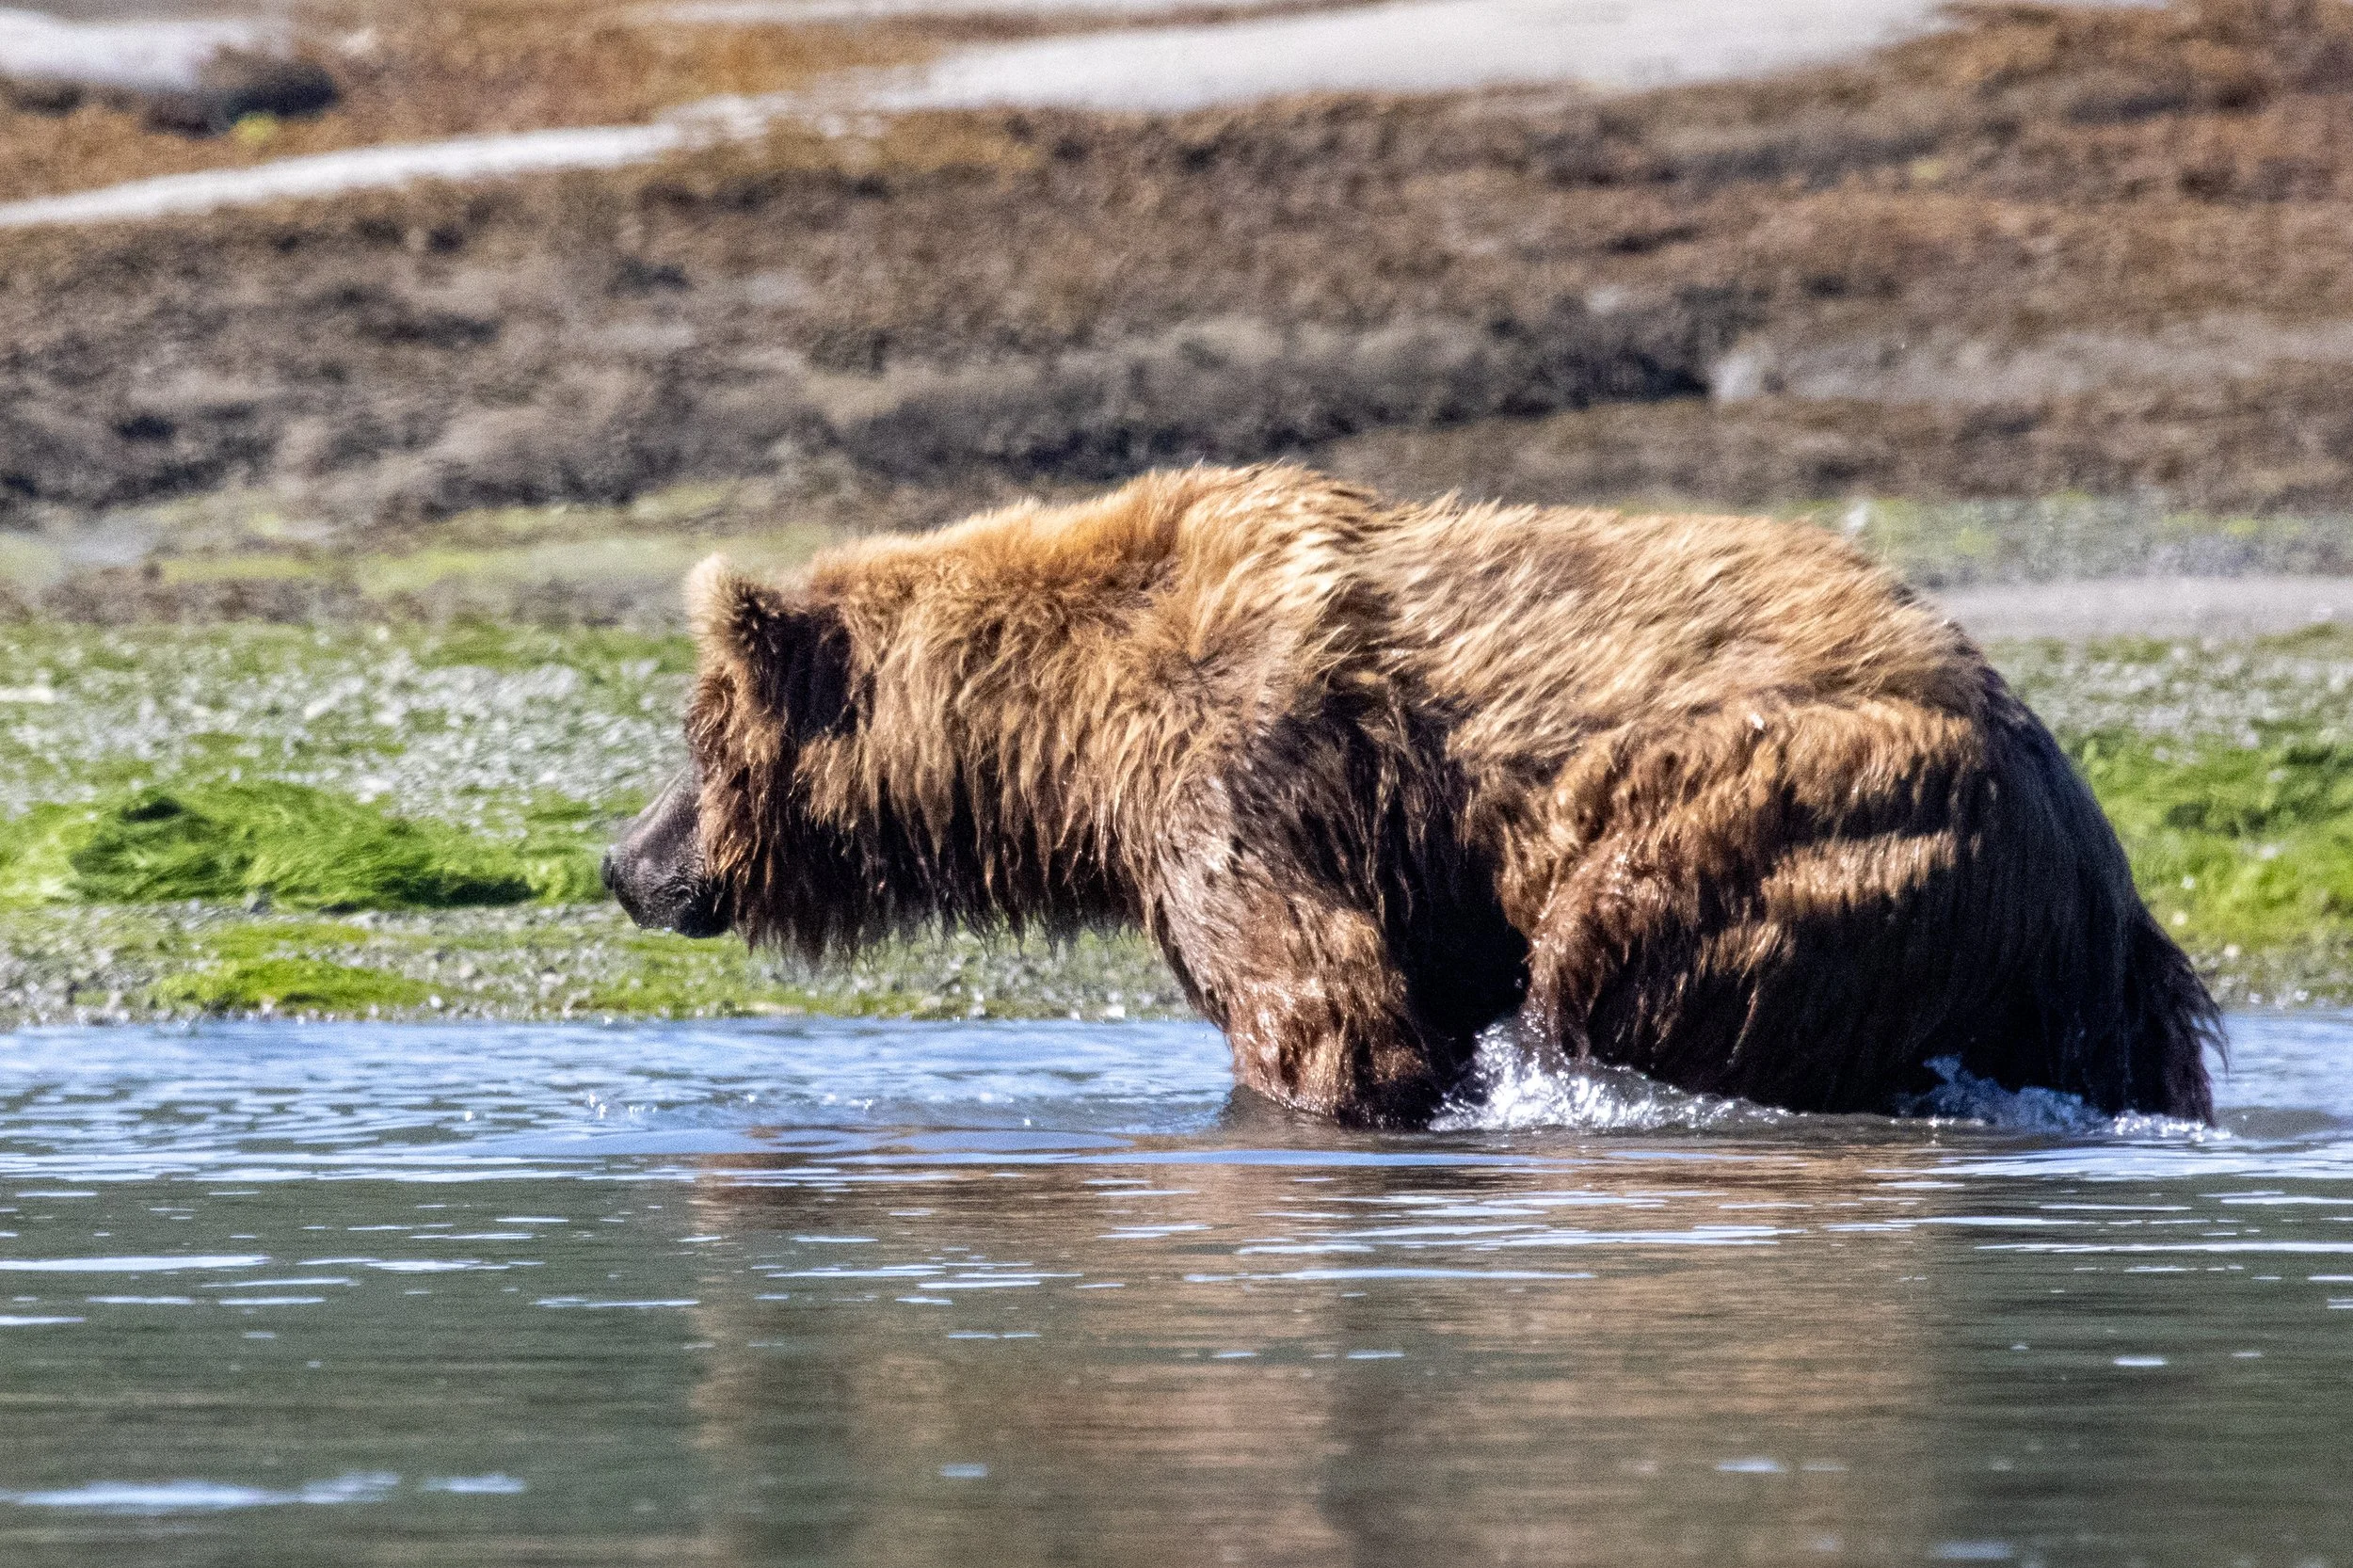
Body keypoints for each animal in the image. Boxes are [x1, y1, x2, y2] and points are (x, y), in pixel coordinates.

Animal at [605, 465, 2219, 1127]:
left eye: (696, 739)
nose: (630, 861)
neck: (1063, 731)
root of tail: (2078, 834)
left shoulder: (1242, 777)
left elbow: (1323, 1008)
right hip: (2074, 973)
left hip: (1810, 807)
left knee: (1625, 945)